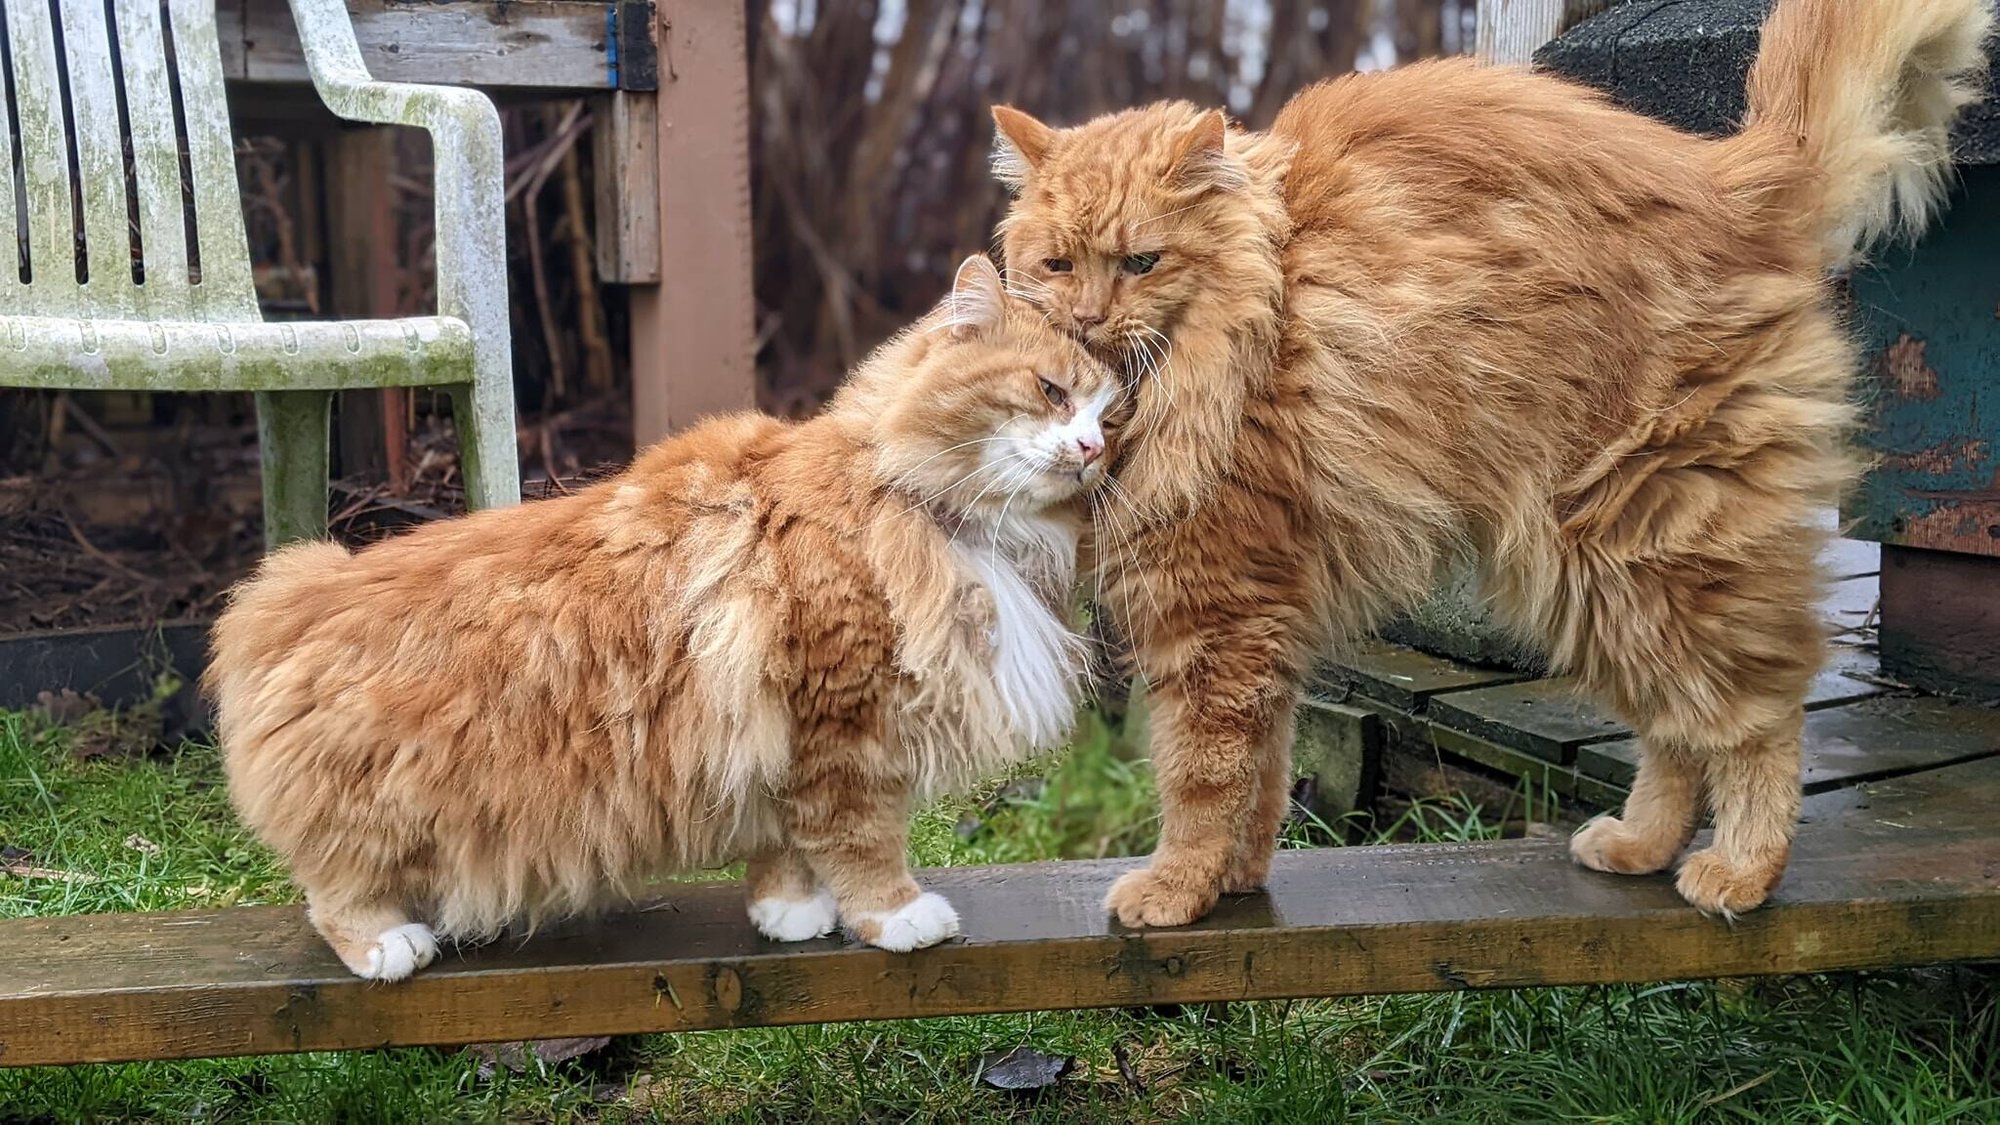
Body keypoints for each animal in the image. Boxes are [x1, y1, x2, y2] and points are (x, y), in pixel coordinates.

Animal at [215, 258, 1144, 976]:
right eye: (1050, 390)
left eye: (1110, 417)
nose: (1092, 451)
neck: (911, 499)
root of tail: (286, 597)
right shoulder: (840, 720)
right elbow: (860, 838)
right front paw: (894, 917)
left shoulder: (782, 737)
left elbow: (788, 842)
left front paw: (788, 911)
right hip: (379, 810)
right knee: (333, 889)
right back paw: (387, 946)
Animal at [980, 0, 1984, 920]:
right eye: (1059, 265)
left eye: (1142, 263)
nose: (1088, 319)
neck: (1254, 305)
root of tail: (1731, 175)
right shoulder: (1260, 611)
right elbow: (1261, 774)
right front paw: (1236, 881)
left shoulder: (1214, 608)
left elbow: (1201, 776)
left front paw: (1177, 887)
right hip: (1597, 577)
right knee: (1677, 724)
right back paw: (1641, 845)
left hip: (1643, 547)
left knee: (1757, 717)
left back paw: (1741, 870)